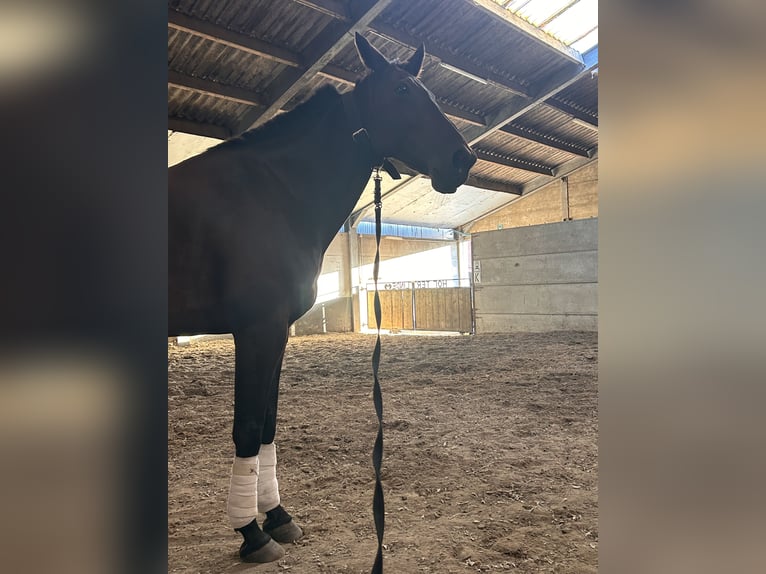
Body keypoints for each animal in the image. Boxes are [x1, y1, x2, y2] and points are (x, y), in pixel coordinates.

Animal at [168, 32, 477, 563]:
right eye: (401, 90)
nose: (463, 159)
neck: (272, 193)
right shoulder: (257, 330)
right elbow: (248, 426)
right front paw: (251, 534)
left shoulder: (276, 335)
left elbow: (268, 426)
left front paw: (277, 516)